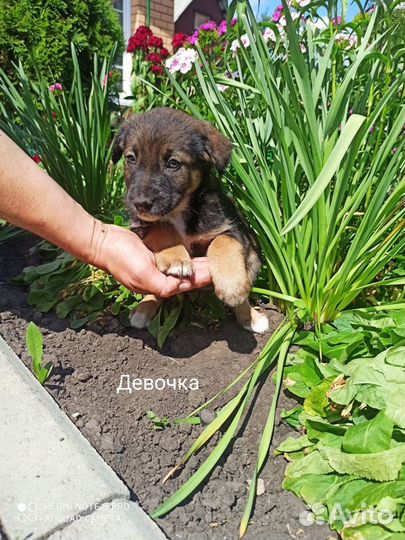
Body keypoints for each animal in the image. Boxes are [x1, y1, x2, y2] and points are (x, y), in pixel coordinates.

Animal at [110, 106, 268, 334]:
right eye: (131, 158)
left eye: (173, 163)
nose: (140, 204)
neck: (179, 211)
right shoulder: (141, 226)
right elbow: (162, 227)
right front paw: (176, 258)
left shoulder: (232, 228)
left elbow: (223, 243)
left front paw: (232, 287)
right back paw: (144, 308)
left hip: (254, 256)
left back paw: (250, 316)